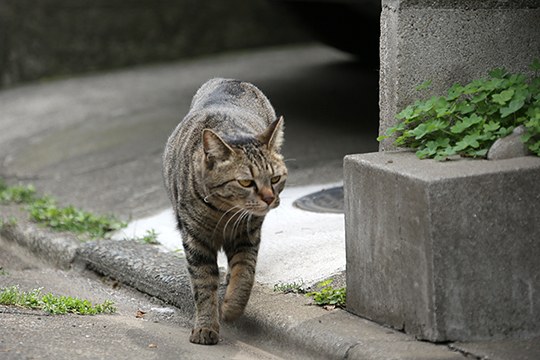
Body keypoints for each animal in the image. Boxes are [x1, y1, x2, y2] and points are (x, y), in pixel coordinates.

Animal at [161, 77, 286, 344]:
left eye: (275, 178)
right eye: (246, 182)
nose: (270, 198)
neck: (223, 213)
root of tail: (232, 80)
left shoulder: (248, 235)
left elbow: (245, 273)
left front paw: (231, 307)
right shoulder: (195, 240)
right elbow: (204, 284)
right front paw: (206, 326)